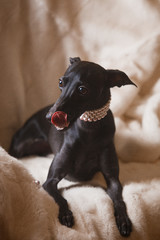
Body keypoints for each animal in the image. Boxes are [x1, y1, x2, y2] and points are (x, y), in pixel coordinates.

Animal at [9, 57, 136, 236]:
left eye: (82, 89)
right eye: (60, 82)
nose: (49, 117)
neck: (89, 130)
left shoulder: (113, 179)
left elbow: (119, 200)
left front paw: (123, 220)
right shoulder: (50, 181)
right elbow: (60, 198)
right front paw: (66, 215)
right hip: (21, 146)